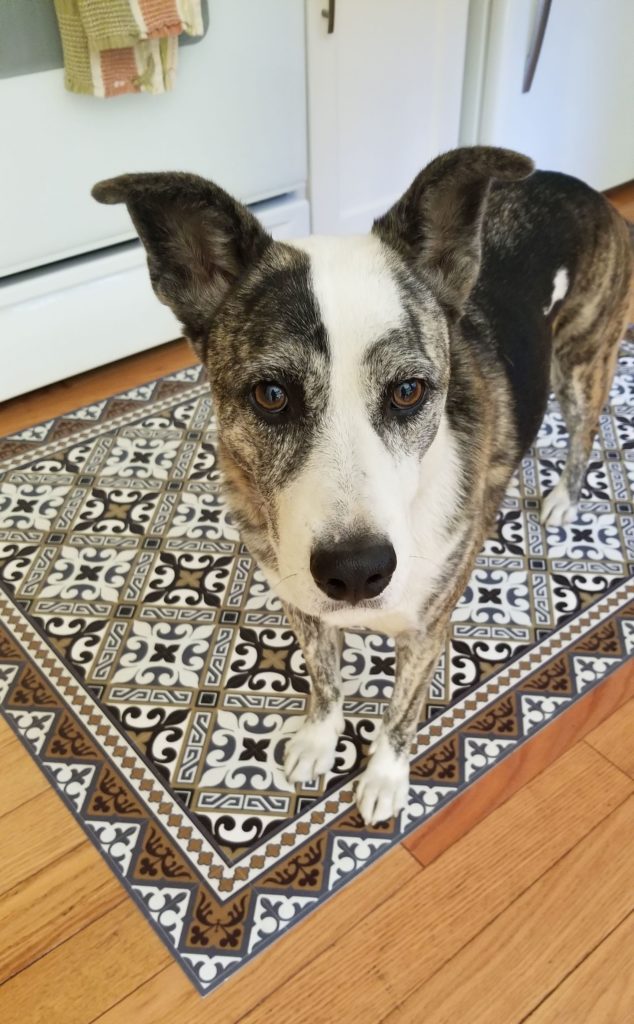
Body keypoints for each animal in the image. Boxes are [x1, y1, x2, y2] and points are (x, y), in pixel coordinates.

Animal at [91, 146, 630, 823]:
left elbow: (400, 715)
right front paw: (319, 742)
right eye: (271, 395)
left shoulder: (426, 632)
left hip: (581, 361)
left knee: (587, 425)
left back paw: (563, 497)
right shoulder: (303, 606)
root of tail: (582, 186)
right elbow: (325, 681)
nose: (356, 571)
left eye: (409, 391)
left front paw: (384, 780)